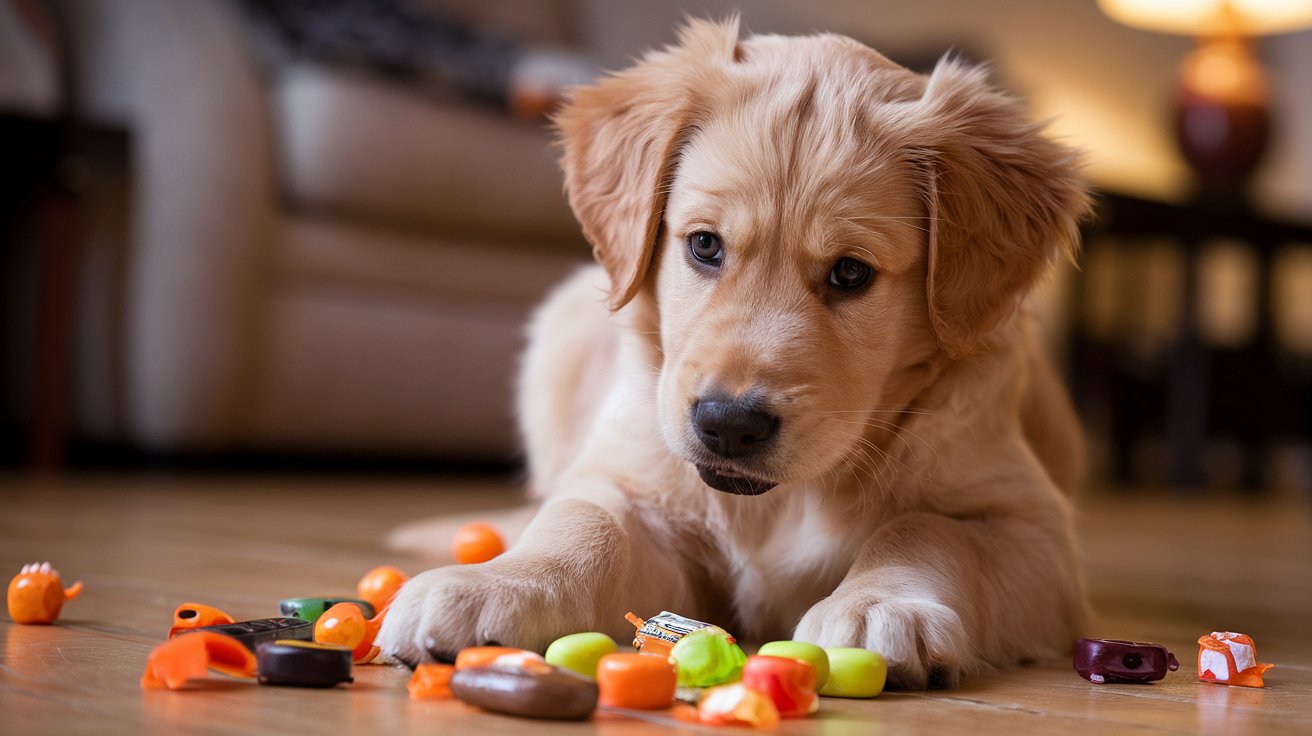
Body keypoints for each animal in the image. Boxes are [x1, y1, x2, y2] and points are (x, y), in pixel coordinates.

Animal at [377, 17, 1086, 687]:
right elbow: (584, 521)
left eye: (851, 273)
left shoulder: (1035, 535)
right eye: (705, 245)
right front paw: (495, 584)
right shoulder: (640, 492)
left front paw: (879, 604)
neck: (782, 499)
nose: (729, 425)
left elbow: (928, 528)